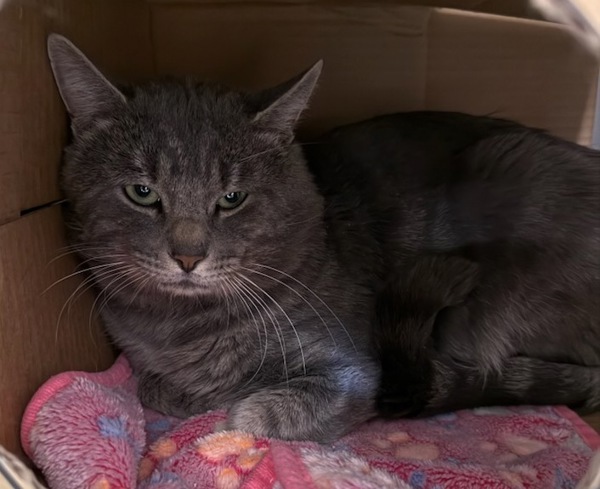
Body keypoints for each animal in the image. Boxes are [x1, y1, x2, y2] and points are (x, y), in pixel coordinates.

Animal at [48, 32, 600, 440]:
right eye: (141, 192)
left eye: (232, 198)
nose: (188, 256)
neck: (180, 326)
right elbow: (151, 387)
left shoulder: (352, 371)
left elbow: (253, 414)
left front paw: (224, 400)